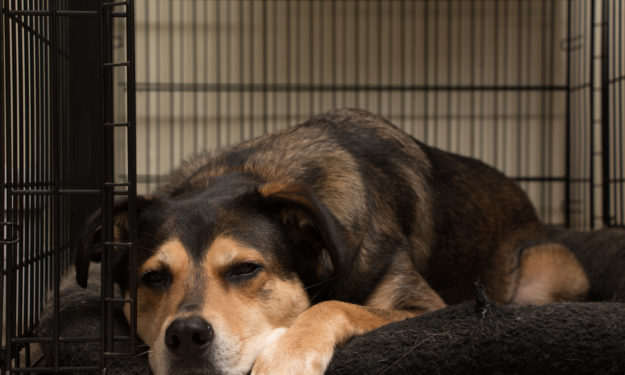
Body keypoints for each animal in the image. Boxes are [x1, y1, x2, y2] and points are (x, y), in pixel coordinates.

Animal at [75, 107, 588, 374]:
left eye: (246, 269)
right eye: (153, 278)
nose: (185, 335)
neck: (254, 171)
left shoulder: (426, 308)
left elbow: (335, 305)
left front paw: (286, 356)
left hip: (555, 269)